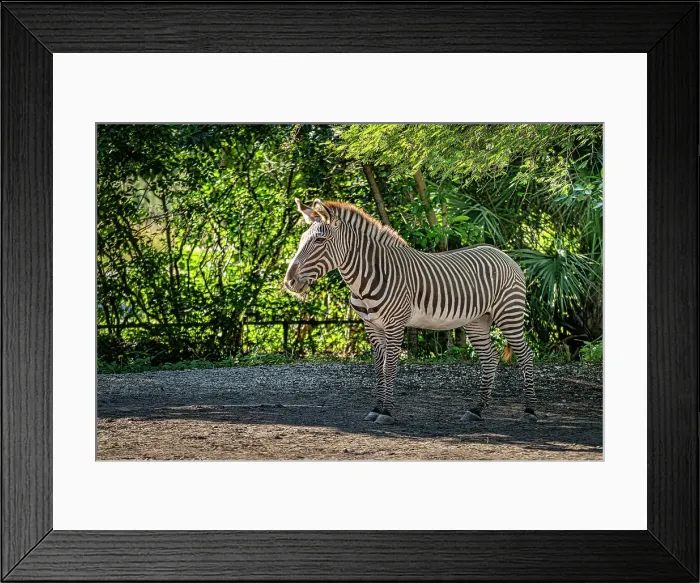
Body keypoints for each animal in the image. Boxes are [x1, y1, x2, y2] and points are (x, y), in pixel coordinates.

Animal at [284, 198, 537, 425]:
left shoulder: (394, 324)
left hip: (509, 314)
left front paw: (386, 412)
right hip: (477, 321)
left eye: (320, 240)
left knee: (525, 355)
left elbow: (390, 367)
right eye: (301, 240)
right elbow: (378, 369)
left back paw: (530, 410)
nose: (289, 282)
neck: (369, 277)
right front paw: (376, 408)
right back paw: (476, 410)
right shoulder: (371, 325)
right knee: (490, 358)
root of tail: (502, 253)